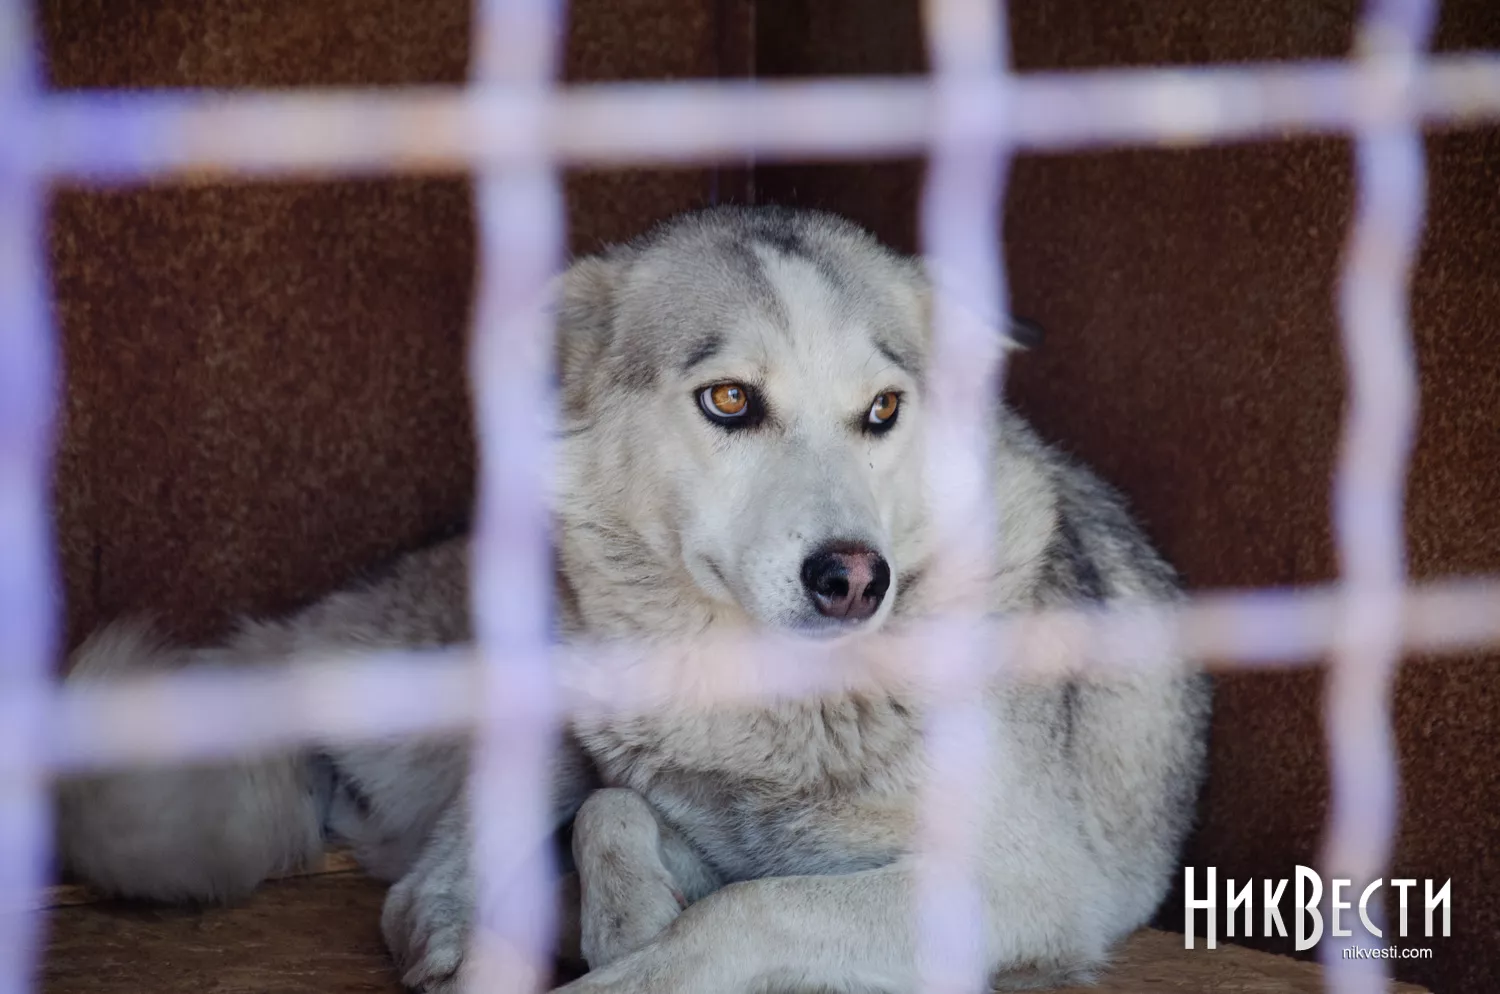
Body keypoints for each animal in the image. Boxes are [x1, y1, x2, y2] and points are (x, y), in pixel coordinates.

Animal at [55, 203, 1206, 994]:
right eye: (730, 399)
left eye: (883, 409)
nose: (854, 577)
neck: (770, 716)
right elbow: (624, 818)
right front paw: (622, 925)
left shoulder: (1022, 882)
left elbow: (747, 908)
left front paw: (630, 949)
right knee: (427, 868)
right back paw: (457, 931)